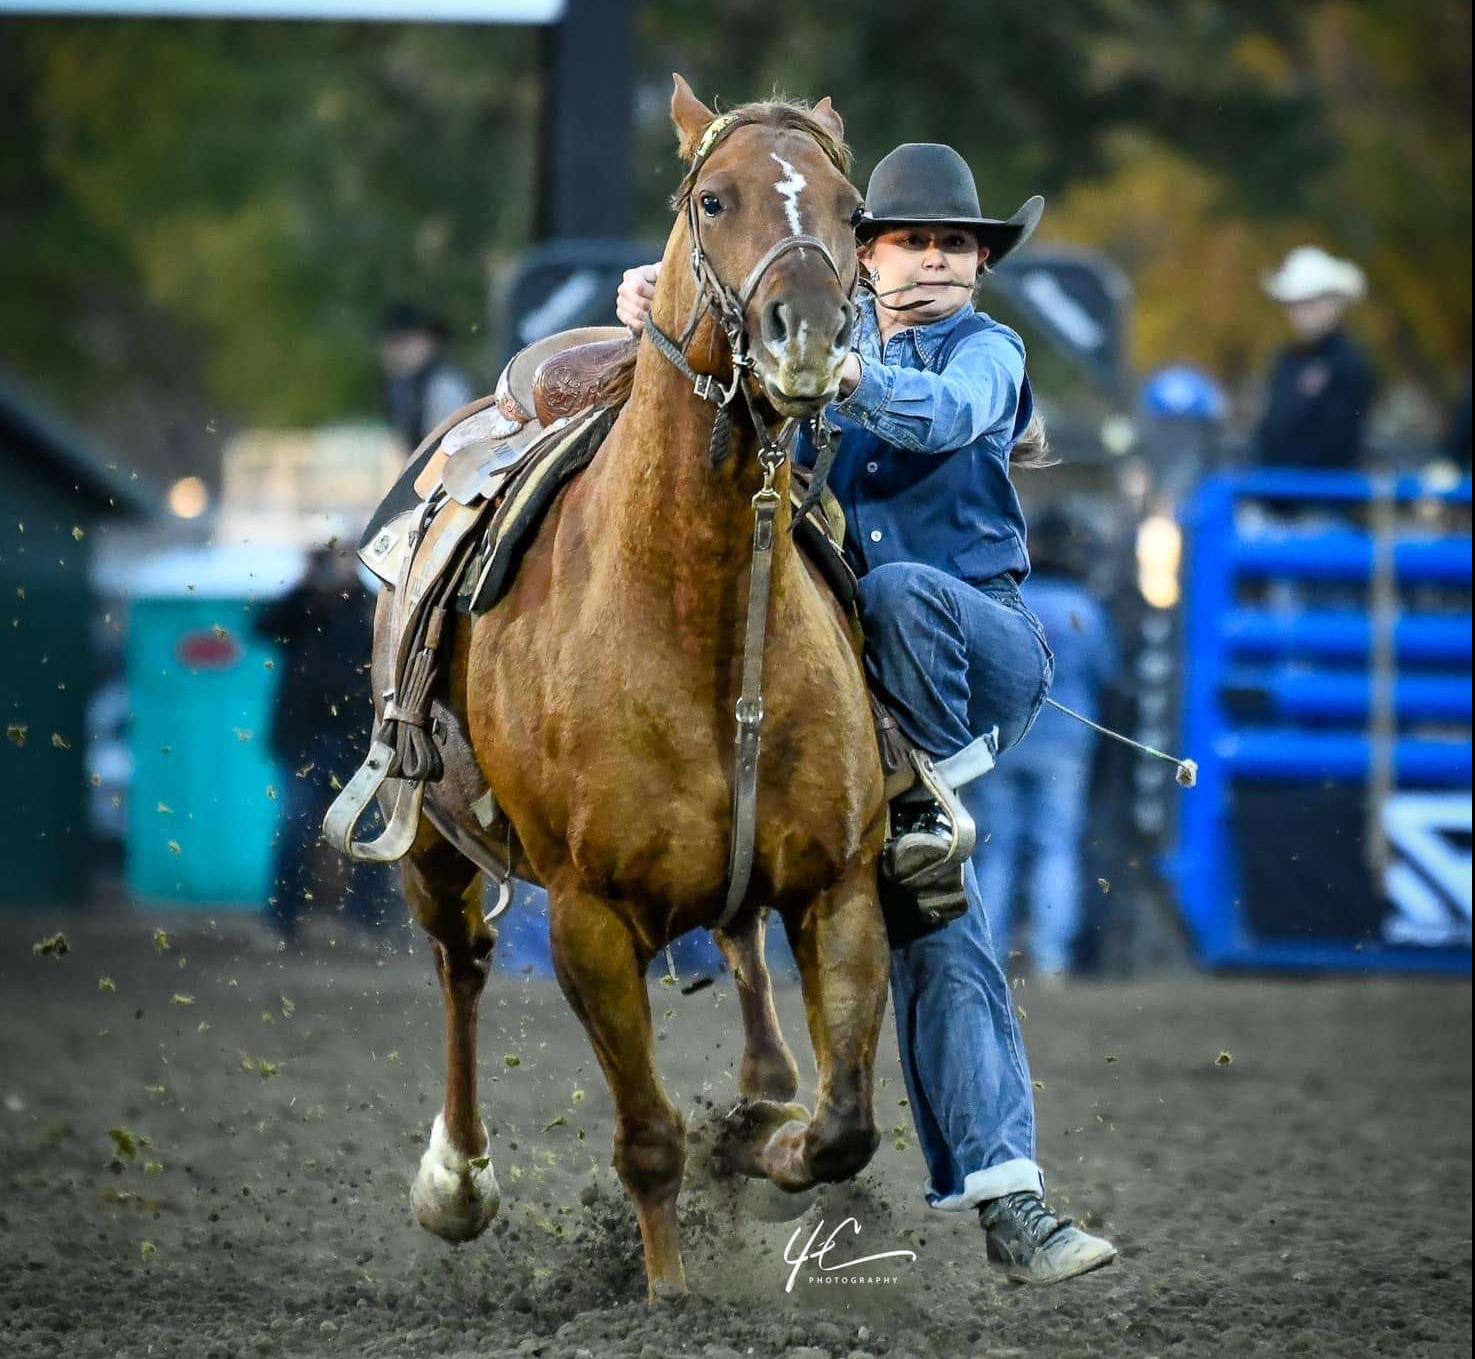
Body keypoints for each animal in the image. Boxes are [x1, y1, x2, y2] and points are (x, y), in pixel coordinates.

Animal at [383, 76, 885, 1304]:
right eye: (713, 199)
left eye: (854, 212)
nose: (807, 337)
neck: (693, 609)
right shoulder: (587, 917)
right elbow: (647, 1138)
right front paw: (668, 1295)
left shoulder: (839, 881)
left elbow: (844, 1121)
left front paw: (769, 1143)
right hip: (431, 843)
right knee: (460, 964)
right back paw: (456, 1182)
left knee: (744, 960)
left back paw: (759, 1094)